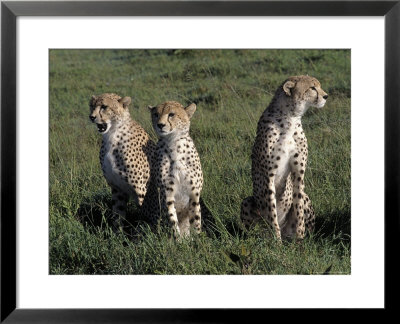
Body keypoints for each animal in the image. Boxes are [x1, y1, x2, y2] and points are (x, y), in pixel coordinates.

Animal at [89, 93, 156, 230]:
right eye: (92, 106)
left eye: (104, 107)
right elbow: (118, 213)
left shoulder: (141, 188)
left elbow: (144, 216)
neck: (112, 134)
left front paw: (142, 234)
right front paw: (117, 233)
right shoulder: (117, 186)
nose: (92, 117)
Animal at [148, 101, 203, 238]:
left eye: (171, 114)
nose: (160, 125)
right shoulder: (166, 193)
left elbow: (195, 220)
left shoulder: (194, 192)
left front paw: (198, 240)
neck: (173, 143)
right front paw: (178, 240)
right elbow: (172, 219)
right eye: (156, 114)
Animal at [241, 74, 328, 239]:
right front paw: (276, 241)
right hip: (248, 202)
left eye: (319, 86)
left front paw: (299, 238)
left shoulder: (298, 172)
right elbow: (271, 210)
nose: (326, 96)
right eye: (312, 88)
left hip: (306, 199)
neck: (290, 118)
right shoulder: (268, 175)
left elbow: (298, 206)